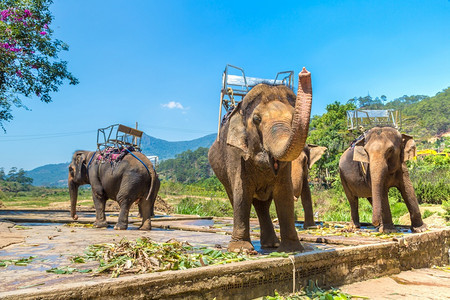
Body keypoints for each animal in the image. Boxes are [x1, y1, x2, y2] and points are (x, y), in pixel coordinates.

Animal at [208, 68, 312, 253]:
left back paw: (271, 245)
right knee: (235, 197)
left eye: (294, 118)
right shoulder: (236, 154)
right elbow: (241, 194)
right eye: (257, 119)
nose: (304, 72)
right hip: (222, 175)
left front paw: (292, 250)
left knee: (262, 206)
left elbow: (284, 194)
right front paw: (240, 250)